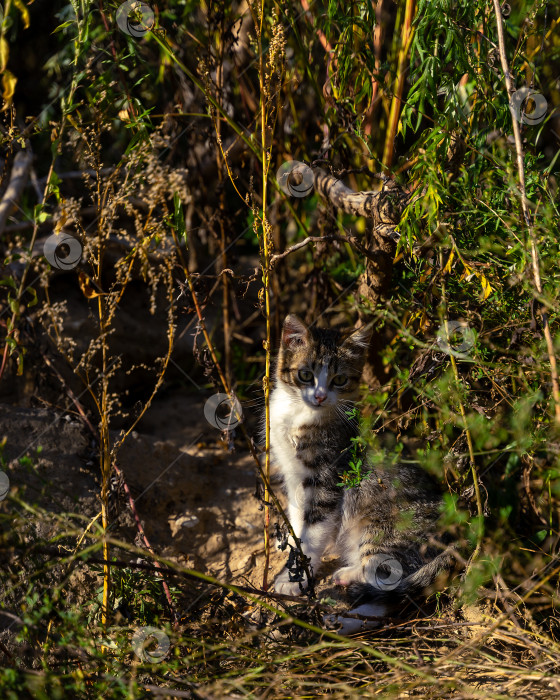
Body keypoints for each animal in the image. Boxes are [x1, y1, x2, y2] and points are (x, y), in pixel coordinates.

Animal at [268, 314, 456, 632]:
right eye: (305, 375)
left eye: (339, 380)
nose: (319, 397)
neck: (300, 414)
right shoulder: (294, 480)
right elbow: (297, 524)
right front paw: (291, 558)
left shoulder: (328, 481)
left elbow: (313, 532)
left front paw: (297, 577)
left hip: (382, 529)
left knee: (388, 589)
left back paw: (342, 613)